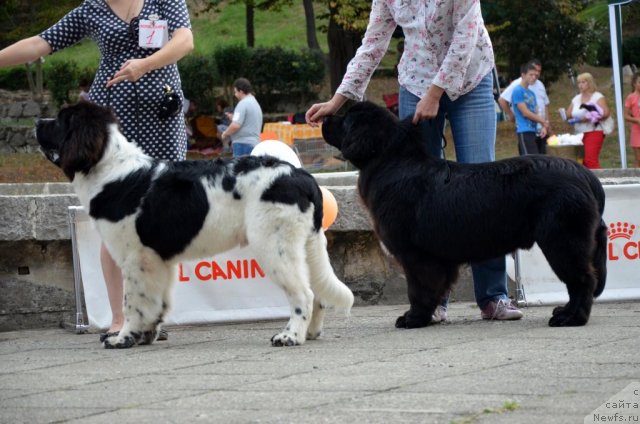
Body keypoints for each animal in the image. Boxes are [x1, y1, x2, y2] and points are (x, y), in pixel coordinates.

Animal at [36, 102, 356, 348]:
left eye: (61, 121)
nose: (38, 121)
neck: (112, 169)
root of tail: (302, 176)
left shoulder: (135, 257)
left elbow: (133, 301)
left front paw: (123, 338)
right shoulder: (157, 259)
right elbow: (156, 301)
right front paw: (146, 335)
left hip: (274, 246)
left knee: (304, 294)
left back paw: (290, 337)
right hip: (302, 244)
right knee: (316, 293)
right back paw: (310, 333)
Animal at [322, 102, 608, 328]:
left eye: (345, 120)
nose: (323, 116)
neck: (390, 162)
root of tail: (586, 176)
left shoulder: (415, 254)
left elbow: (418, 289)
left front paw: (413, 319)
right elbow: (435, 288)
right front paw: (428, 316)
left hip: (562, 240)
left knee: (582, 280)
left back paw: (571, 318)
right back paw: (565, 313)